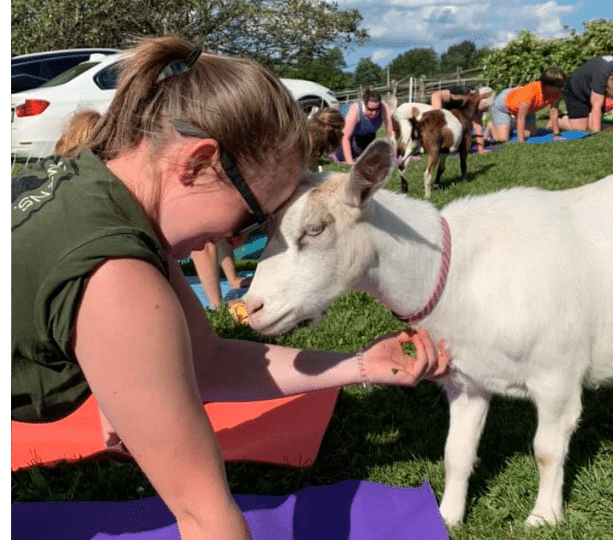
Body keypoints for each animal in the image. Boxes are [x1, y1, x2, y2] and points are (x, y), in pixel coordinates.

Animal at [246, 140, 612, 528]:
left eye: (314, 229)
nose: (251, 307)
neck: (457, 276)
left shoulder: (557, 376)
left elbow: (546, 451)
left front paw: (544, 517)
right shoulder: (467, 380)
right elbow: (456, 454)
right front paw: (447, 517)